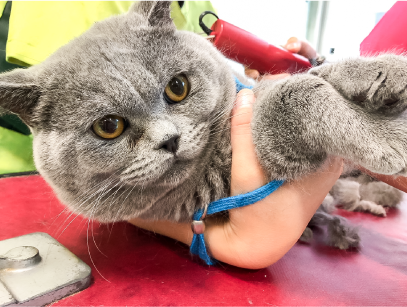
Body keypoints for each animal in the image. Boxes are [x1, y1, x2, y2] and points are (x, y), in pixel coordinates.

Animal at [0, 0, 407, 250]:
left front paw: (386, 73)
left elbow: (312, 73)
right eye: (109, 126)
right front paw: (389, 138)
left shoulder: (252, 86)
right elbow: (294, 93)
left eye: (177, 87)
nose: (170, 140)